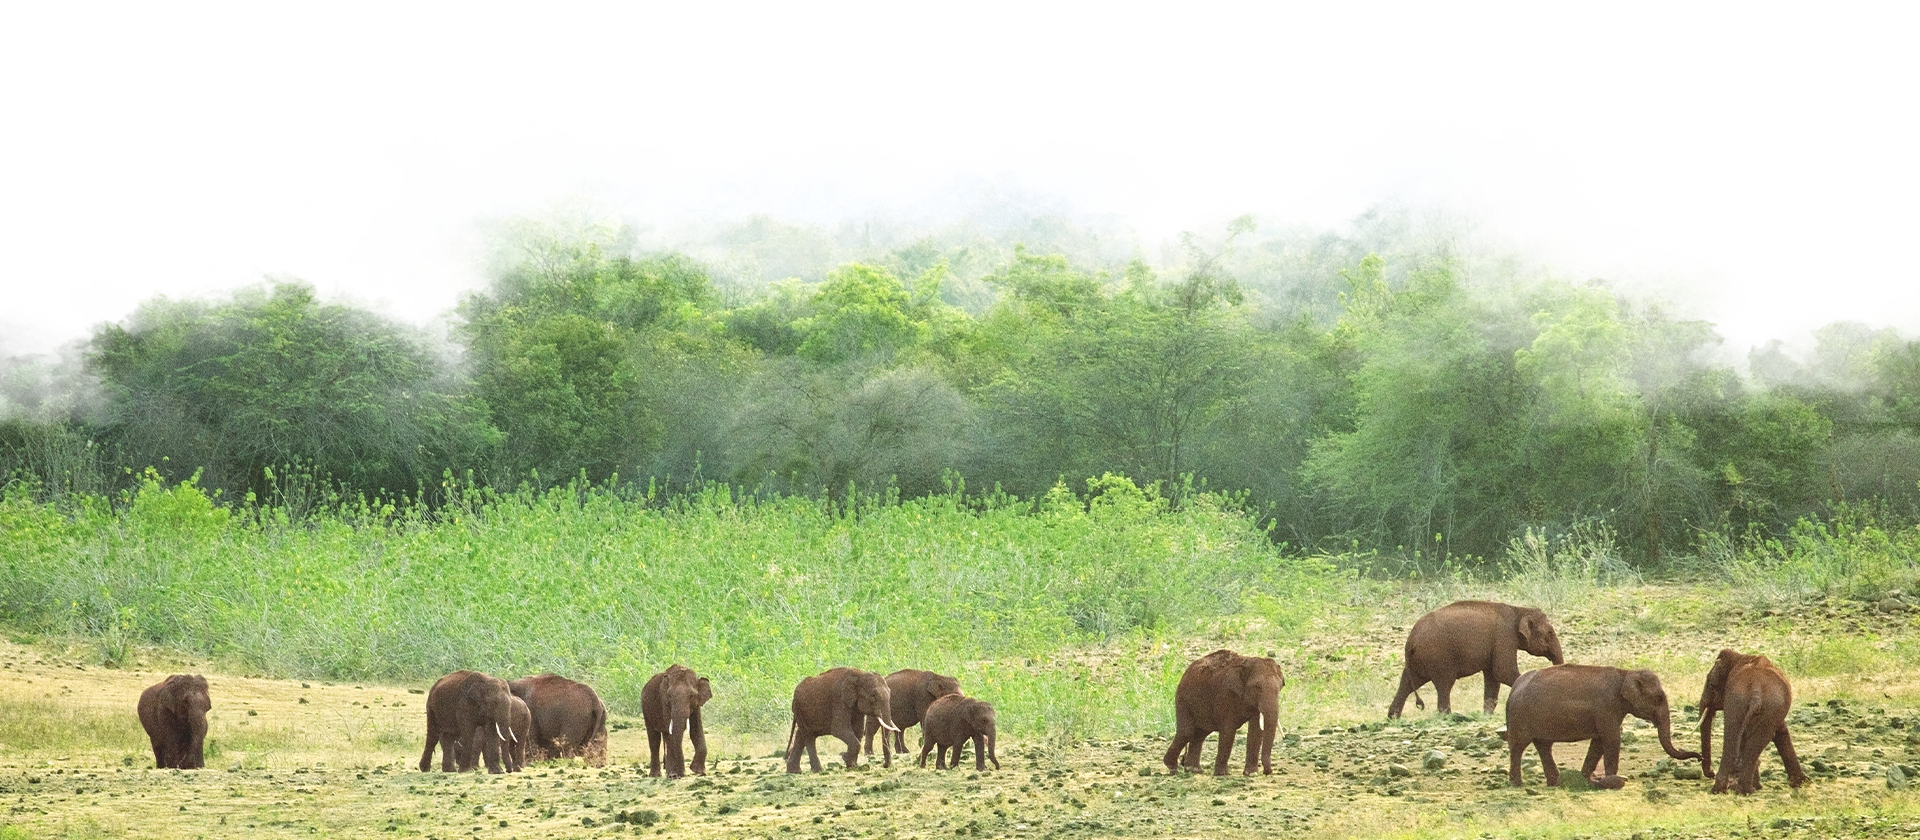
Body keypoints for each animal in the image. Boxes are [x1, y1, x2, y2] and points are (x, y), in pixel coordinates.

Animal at [1388, 600, 1564, 718]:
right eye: (1550, 633)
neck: (1518, 609)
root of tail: (1410, 641)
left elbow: (1493, 677)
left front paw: (1487, 716)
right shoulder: (1504, 637)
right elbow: (1503, 672)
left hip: (1418, 661)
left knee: (1407, 683)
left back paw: (1393, 718)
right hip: (1438, 657)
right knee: (1444, 684)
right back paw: (1448, 717)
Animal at [1505, 664, 1699, 788]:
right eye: (1658, 698)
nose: (1700, 757)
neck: (1626, 673)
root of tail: (1514, 688)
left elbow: (1598, 741)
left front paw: (1587, 779)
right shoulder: (1607, 706)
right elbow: (1611, 738)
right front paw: (1612, 779)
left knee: (1544, 745)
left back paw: (1553, 783)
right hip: (1519, 717)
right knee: (1518, 746)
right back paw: (1517, 784)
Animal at [1698, 648, 1808, 794]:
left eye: (1711, 684)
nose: (1711, 772)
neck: (1739, 657)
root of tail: (1756, 689)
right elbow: (1780, 732)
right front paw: (1800, 782)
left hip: (1748, 703)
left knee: (1735, 737)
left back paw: (1728, 789)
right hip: (1756, 703)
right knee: (1751, 739)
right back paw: (1745, 789)